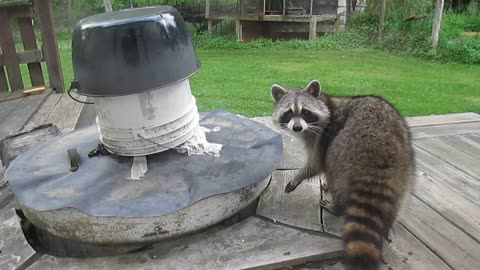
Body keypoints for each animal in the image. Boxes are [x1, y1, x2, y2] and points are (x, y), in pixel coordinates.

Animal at [272, 80, 414, 270]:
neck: (325, 102)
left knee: (333, 169)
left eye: (305, 112)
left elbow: (317, 163)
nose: (297, 127)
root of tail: (381, 152)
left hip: (344, 149)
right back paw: (387, 223)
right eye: (288, 113)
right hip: (404, 165)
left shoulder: (323, 136)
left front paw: (299, 176)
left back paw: (337, 206)